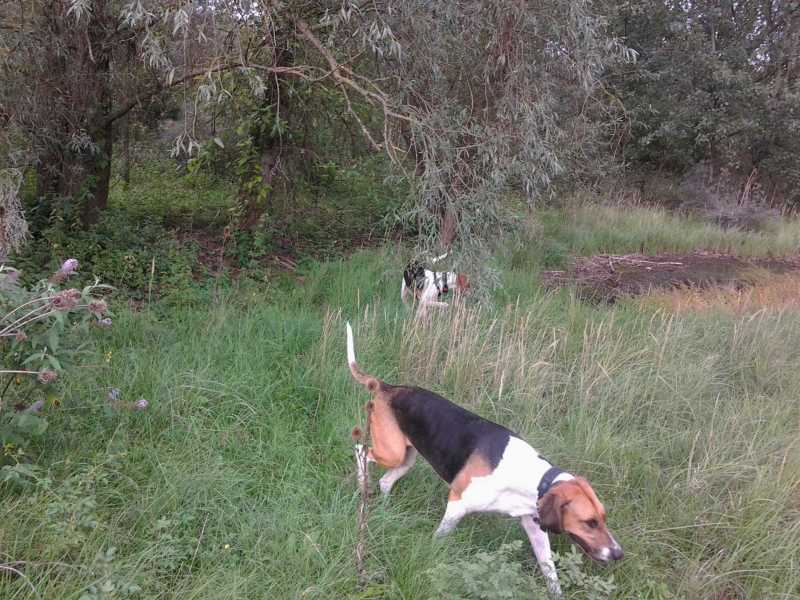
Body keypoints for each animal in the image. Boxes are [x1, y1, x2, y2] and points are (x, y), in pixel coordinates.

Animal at [346, 323, 621, 596]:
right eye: (590, 523)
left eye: (603, 518)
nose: (619, 553)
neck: (532, 478)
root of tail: (387, 387)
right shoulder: (457, 505)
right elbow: (440, 538)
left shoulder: (535, 527)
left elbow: (550, 572)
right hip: (391, 453)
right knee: (360, 450)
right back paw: (362, 486)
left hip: (406, 457)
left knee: (385, 481)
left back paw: (384, 508)